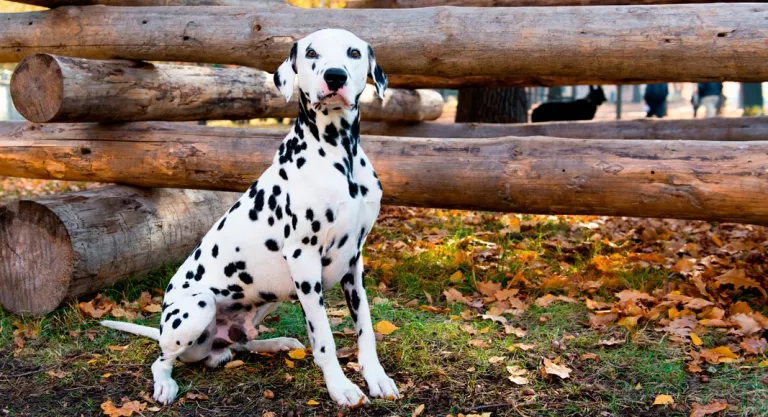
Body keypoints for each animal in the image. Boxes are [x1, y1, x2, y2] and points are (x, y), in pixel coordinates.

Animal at [100, 28, 400, 406]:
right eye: (312, 52)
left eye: (354, 53)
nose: (335, 76)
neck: (339, 155)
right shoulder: (303, 258)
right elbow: (324, 339)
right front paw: (341, 387)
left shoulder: (353, 261)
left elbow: (365, 329)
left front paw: (377, 378)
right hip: (197, 307)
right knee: (162, 360)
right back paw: (166, 384)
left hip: (269, 296)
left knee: (241, 343)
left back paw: (277, 343)